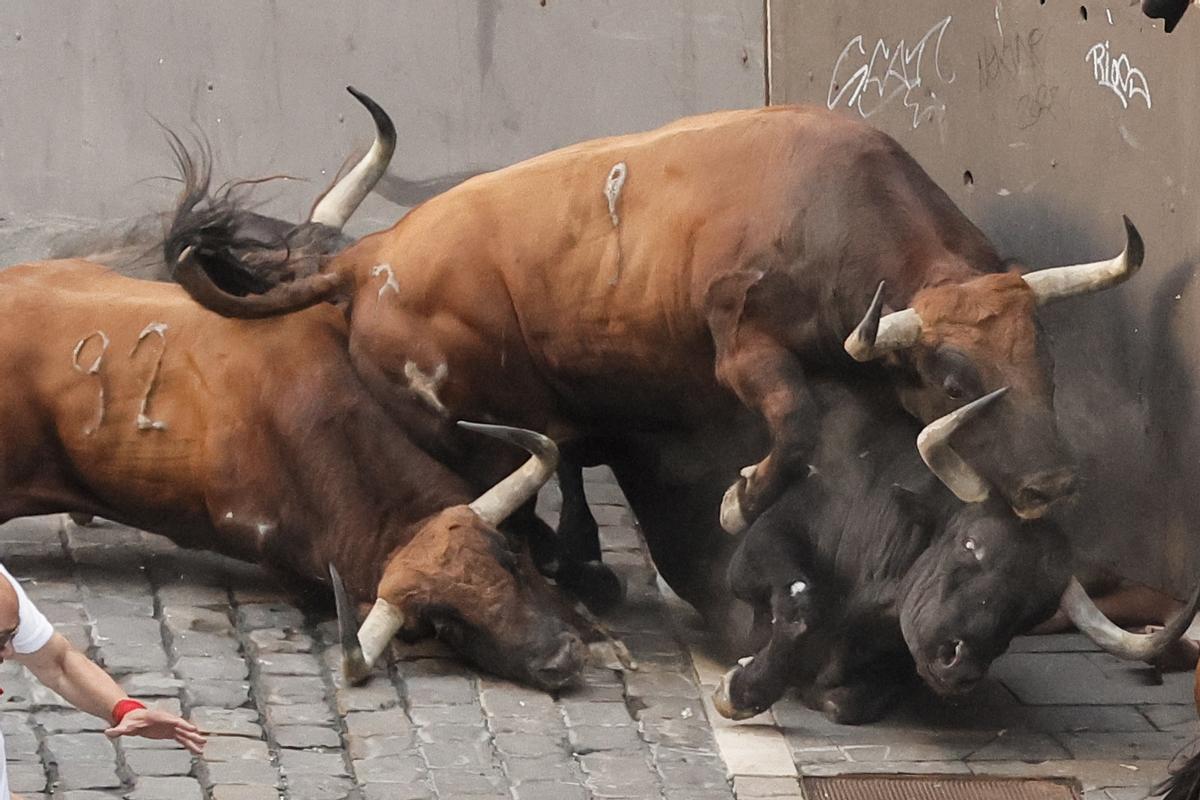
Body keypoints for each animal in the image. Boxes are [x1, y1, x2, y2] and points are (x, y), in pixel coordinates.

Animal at [164, 106, 1137, 614]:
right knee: (503, 479)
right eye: (956, 379)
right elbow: (794, 426)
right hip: (464, 413)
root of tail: (365, 259)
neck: (834, 211)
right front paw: (740, 500)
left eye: (1044, 358)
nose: (1053, 484)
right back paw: (564, 564)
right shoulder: (742, 346)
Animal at [710, 376, 1200, 724]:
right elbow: (798, 603)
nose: (958, 665)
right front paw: (743, 689)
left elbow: (847, 702)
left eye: (1036, 608)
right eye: (970, 544)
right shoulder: (755, 553)